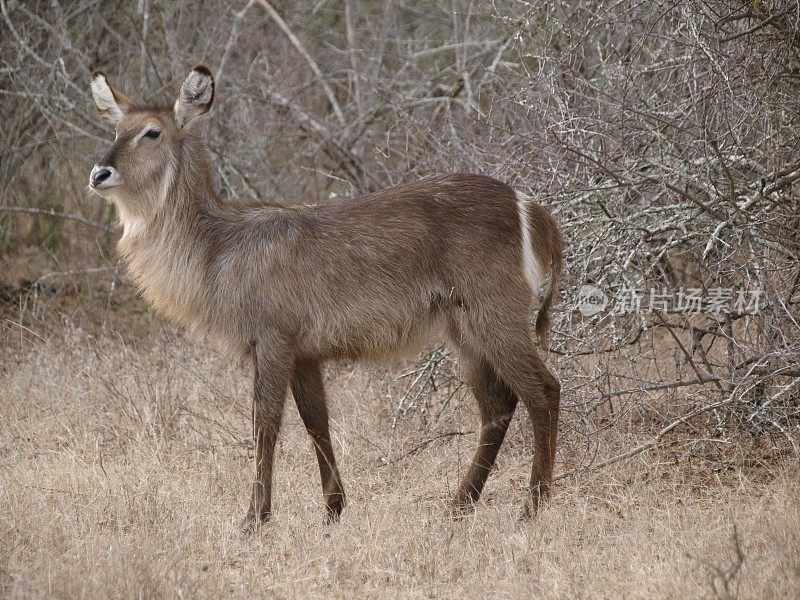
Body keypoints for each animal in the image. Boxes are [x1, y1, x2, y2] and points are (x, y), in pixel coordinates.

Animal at [86, 65, 564, 528]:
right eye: (116, 130)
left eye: (152, 132)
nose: (98, 174)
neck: (218, 246)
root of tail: (533, 208)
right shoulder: (304, 353)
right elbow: (317, 421)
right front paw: (333, 510)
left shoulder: (273, 339)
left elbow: (265, 422)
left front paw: (254, 518)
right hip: (463, 330)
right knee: (498, 406)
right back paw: (458, 505)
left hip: (495, 315)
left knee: (543, 390)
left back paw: (532, 506)